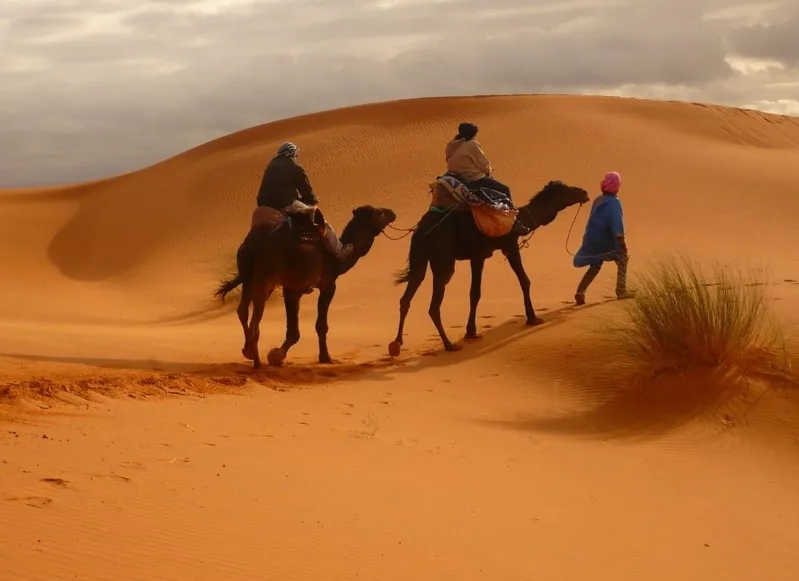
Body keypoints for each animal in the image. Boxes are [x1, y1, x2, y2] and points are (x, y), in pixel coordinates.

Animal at [216, 204, 396, 368]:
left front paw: (277, 355)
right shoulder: (327, 285)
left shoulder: (293, 290)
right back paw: (257, 361)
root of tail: (251, 245)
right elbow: (320, 326)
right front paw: (325, 358)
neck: (338, 260)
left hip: (248, 275)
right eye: (380, 213)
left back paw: (248, 351)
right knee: (256, 317)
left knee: (243, 310)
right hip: (265, 277)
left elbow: (293, 331)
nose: (392, 213)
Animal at [390, 180, 592, 354]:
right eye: (566, 189)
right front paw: (533, 317)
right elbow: (524, 280)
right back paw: (449, 345)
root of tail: (421, 230)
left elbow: (475, 293)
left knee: (407, 295)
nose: (584, 193)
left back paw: (396, 344)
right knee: (434, 305)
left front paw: (471, 330)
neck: (522, 218)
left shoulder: (478, 256)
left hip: (420, 258)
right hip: (443, 259)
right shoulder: (508, 246)